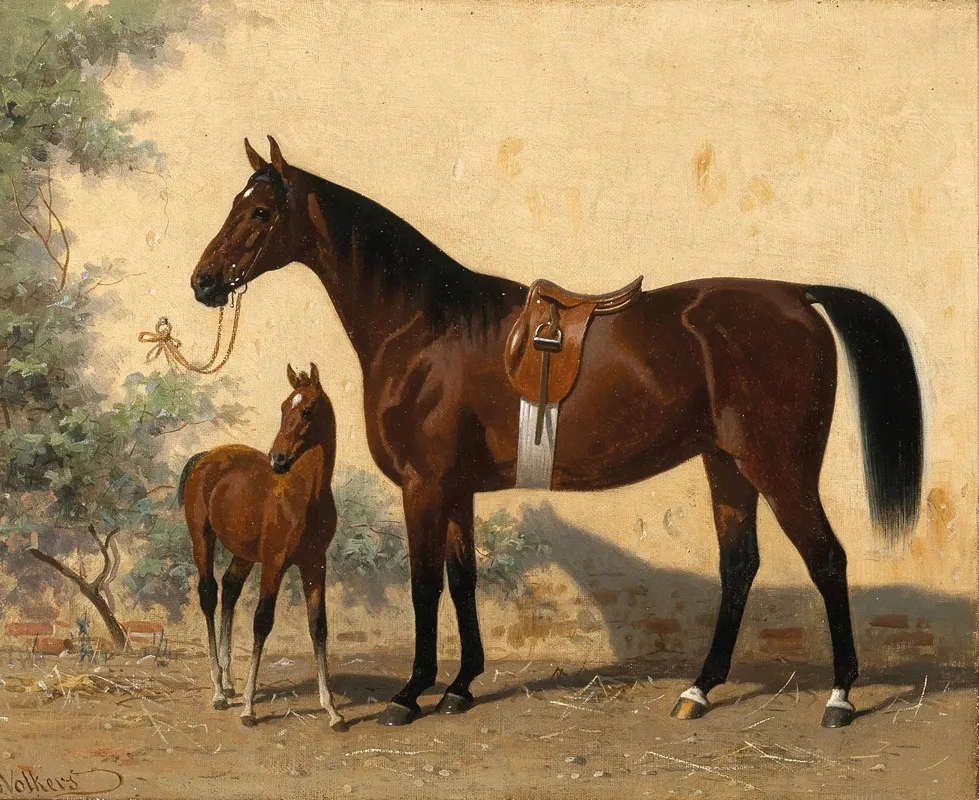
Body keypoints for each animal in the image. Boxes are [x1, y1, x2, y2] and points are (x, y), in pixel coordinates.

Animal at [178, 362, 348, 730]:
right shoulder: (275, 563)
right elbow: (262, 621)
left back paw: (229, 681)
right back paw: (218, 690)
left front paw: (332, 710)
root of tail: (206, 457)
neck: (305, 495)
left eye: (307, 410)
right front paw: (249, 708)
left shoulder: (315, 564)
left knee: (229, 589)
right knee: (209, 594)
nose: (278, 459)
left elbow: (319, 626)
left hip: (243, 555)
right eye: (284, 408)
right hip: (203, 540)